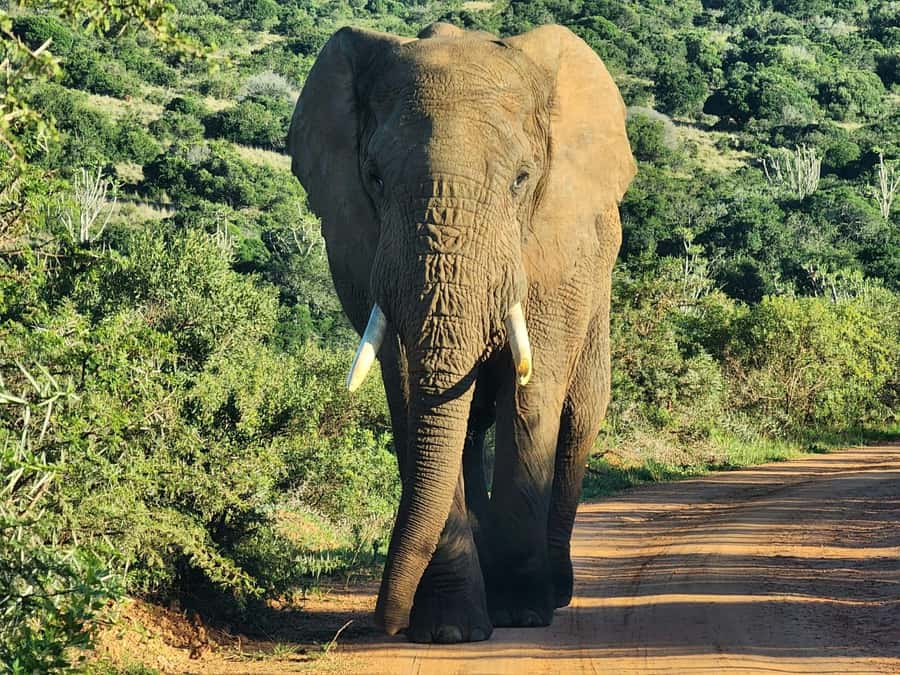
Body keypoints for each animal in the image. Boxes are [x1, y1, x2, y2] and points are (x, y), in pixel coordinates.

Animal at [287, 22, 635, 644]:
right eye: (374, 178)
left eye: (522, 180)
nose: (384, 622)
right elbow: (408, 396)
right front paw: (448, 629)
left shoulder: (554, 252)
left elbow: (532, 395)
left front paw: (521, 614)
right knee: (465, 428)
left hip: (598, 280)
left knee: (579, 414)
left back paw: (555, 592)